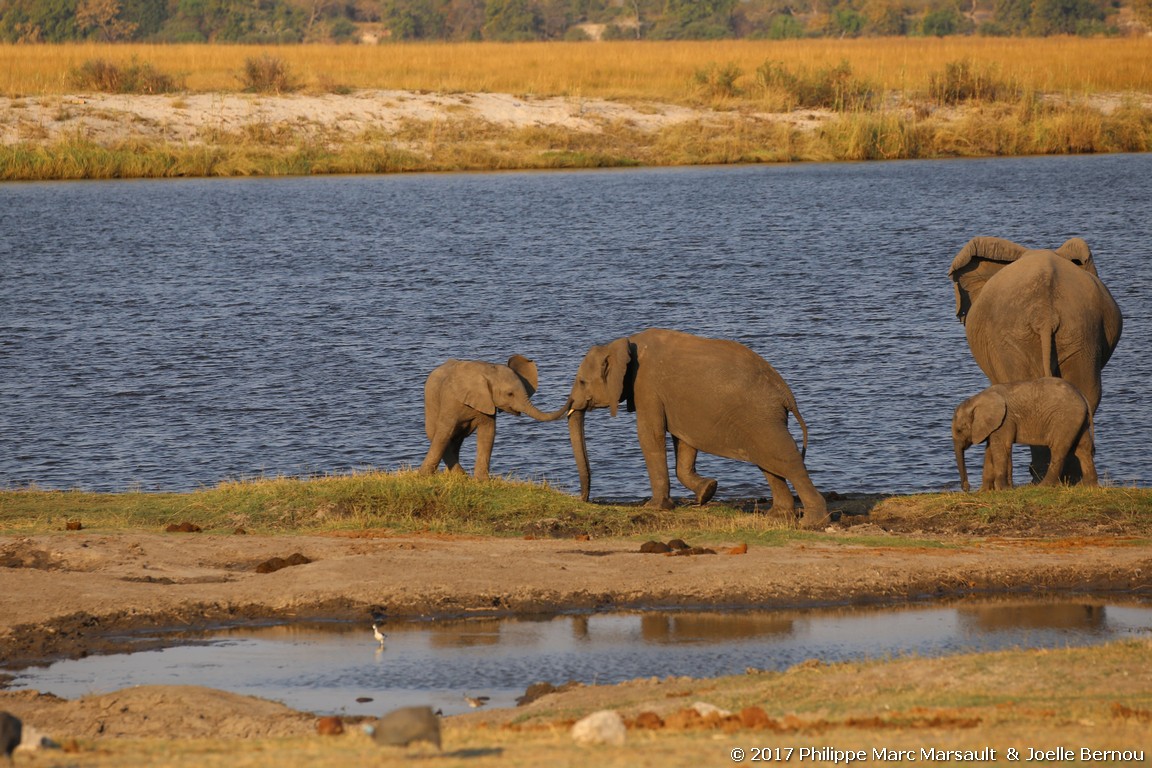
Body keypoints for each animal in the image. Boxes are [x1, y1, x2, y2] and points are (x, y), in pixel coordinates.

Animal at [562, 324, 824, 529]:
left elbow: (650, 436)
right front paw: (708, 491)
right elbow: (684, 442)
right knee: (769, 461)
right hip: (762, 419)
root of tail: (786, 393)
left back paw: (812, 522)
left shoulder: (646, 386)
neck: (621, 343)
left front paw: (655, 507)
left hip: (762, 415)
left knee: (785, 458)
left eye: (582, 382)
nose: (583, 499)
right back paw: (776, 517)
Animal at [953, 377, 1096, 492]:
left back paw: (1044, 486)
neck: (976, 399)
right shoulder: (995, 425)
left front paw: (1003, 490)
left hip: (1065, 419)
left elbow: (1000, 448)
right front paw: (985, 491)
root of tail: (1082, 395)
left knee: (1058, 449)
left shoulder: (1005, 420)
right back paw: (1088, 486)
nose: (967, 488)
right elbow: (990, 450)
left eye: (959, 430)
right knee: (1082, 448)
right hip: (1078, 421)